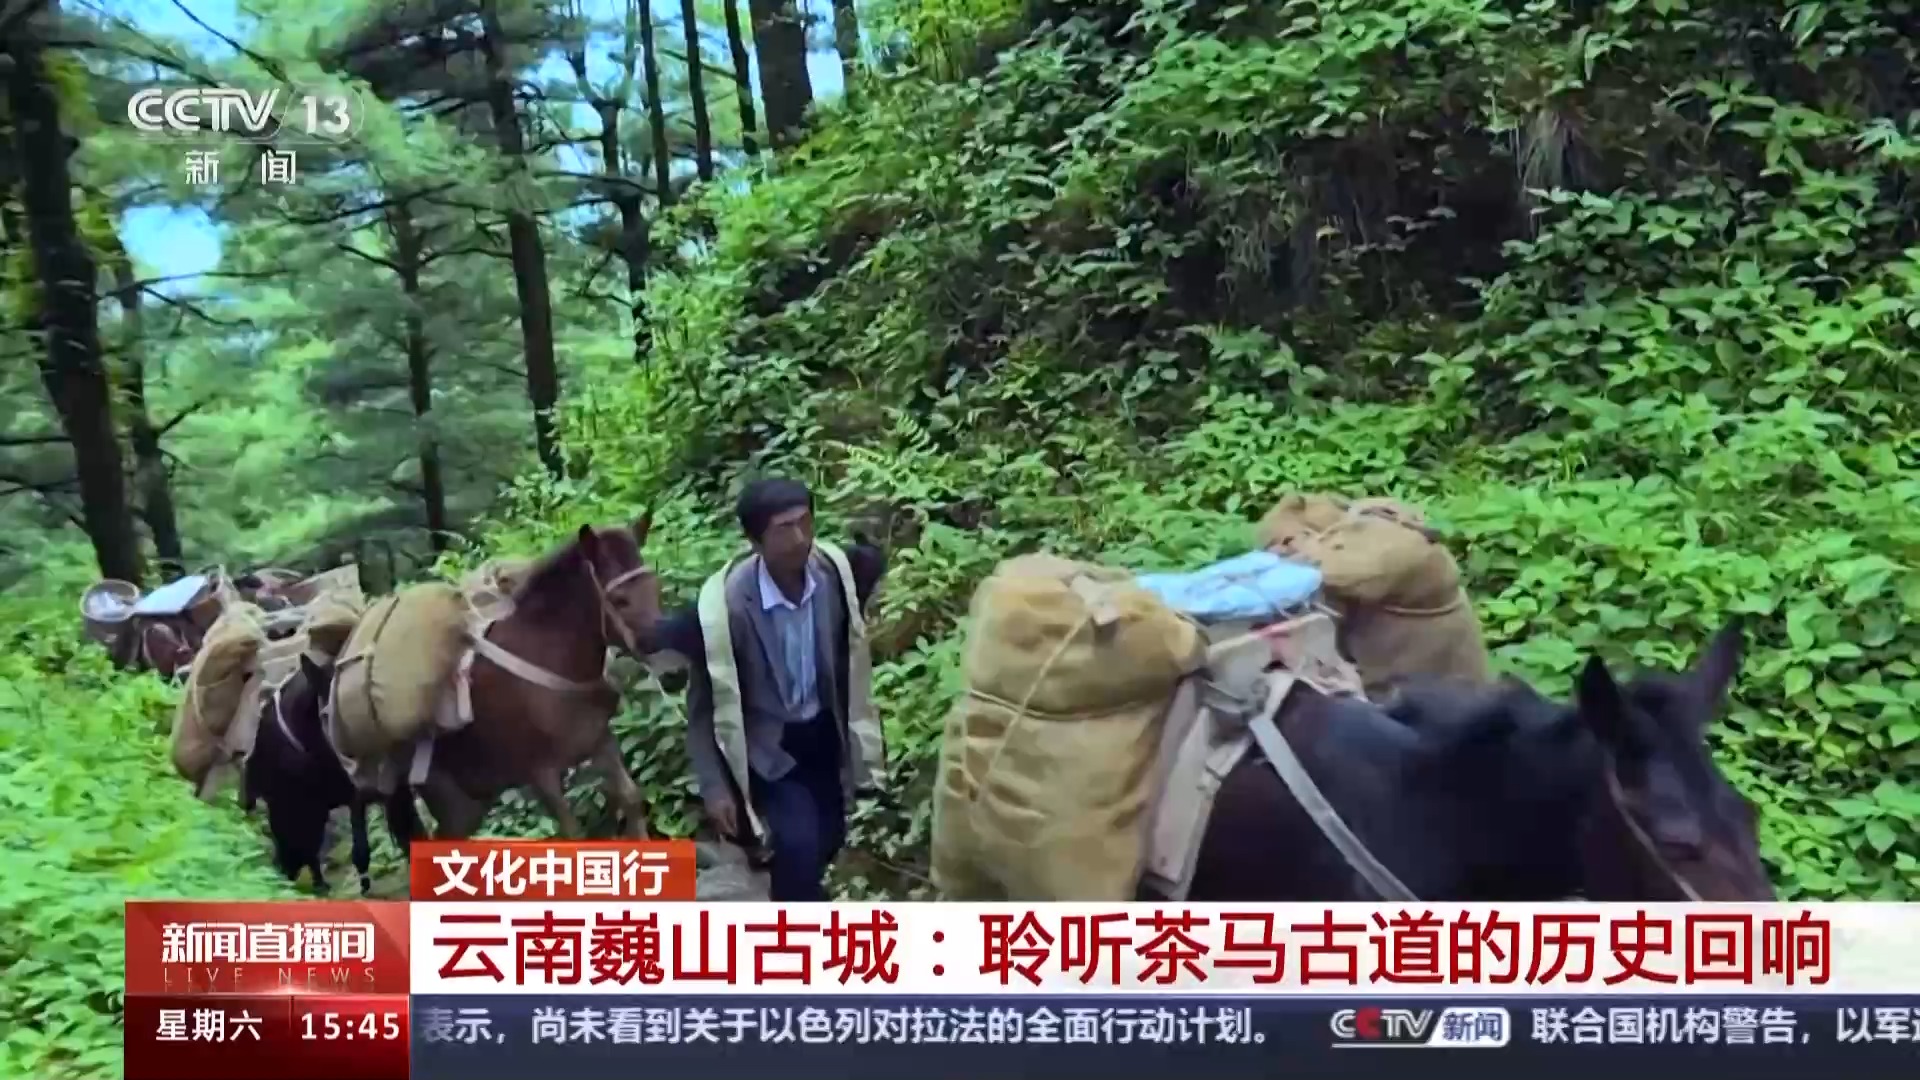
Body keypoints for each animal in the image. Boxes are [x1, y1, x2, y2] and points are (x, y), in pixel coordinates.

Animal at [398, 518, 664, 840]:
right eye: (619, 600)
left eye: (656, 587)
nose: (672, 666)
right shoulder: (540, 774)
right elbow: (573, 835)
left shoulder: (600, 741)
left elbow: (631, 799)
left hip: (471, 803)